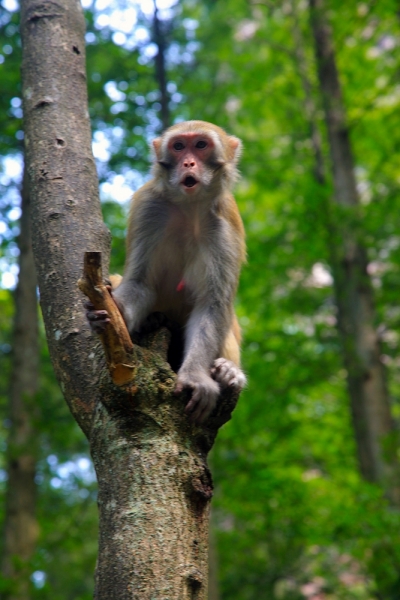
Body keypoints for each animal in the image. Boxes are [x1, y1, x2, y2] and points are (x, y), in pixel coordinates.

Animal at [86, 120, 245, 422]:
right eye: (179, 146)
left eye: (201, 145)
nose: (188, 163)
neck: (190, 207)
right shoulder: (149, 208)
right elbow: (140, 283)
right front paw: (113, 311)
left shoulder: (225, 225)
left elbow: (213, 304)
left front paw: (196, 377)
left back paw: (228, 371)